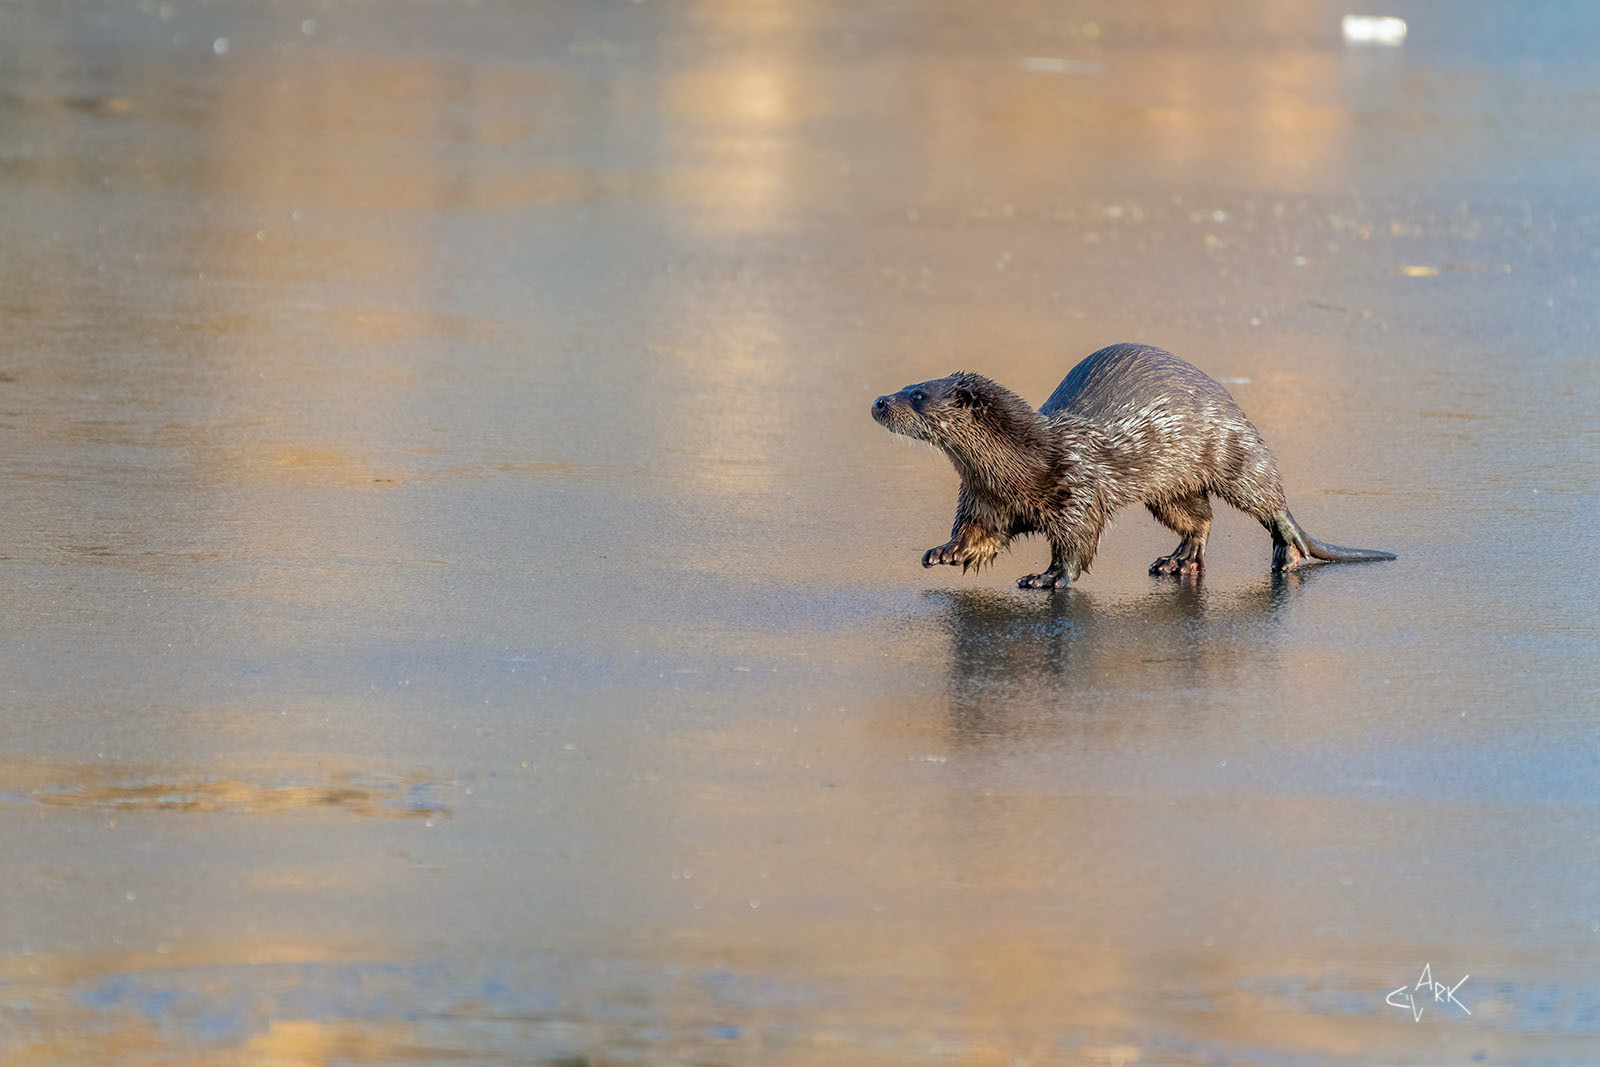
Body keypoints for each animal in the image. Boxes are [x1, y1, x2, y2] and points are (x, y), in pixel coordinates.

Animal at [871, 342, 1395, 589]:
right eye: (905, 384)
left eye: (917, 395)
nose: (878, 400)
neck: (1019, 467)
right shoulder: (984, 499)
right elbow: (979, 536)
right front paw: (945, 551)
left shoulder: (1078, 490)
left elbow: (1077, 545)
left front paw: (1046, 578)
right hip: (1169, 490)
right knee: (1199, 519)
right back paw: (1176, 561)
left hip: (1234, 450)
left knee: (1271, 502)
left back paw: (1286, 553)